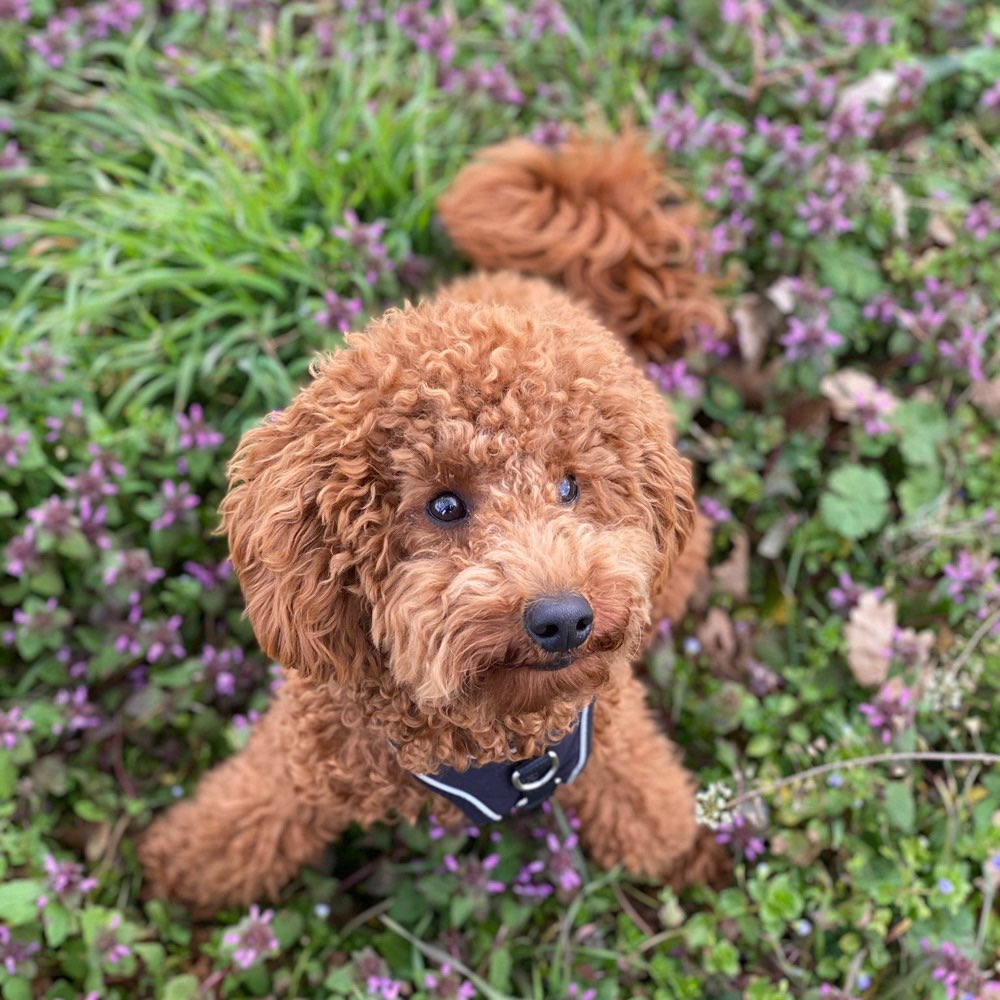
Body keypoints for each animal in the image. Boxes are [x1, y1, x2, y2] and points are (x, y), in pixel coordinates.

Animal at [141, 131, 732, 916]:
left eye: (571, 486)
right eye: (444, 505)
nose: (564, 619)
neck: (484, 736)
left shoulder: (609, 729)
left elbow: (643, 799)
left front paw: (680, 847)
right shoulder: (317, 739)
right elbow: (253, 808)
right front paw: (186, 860)